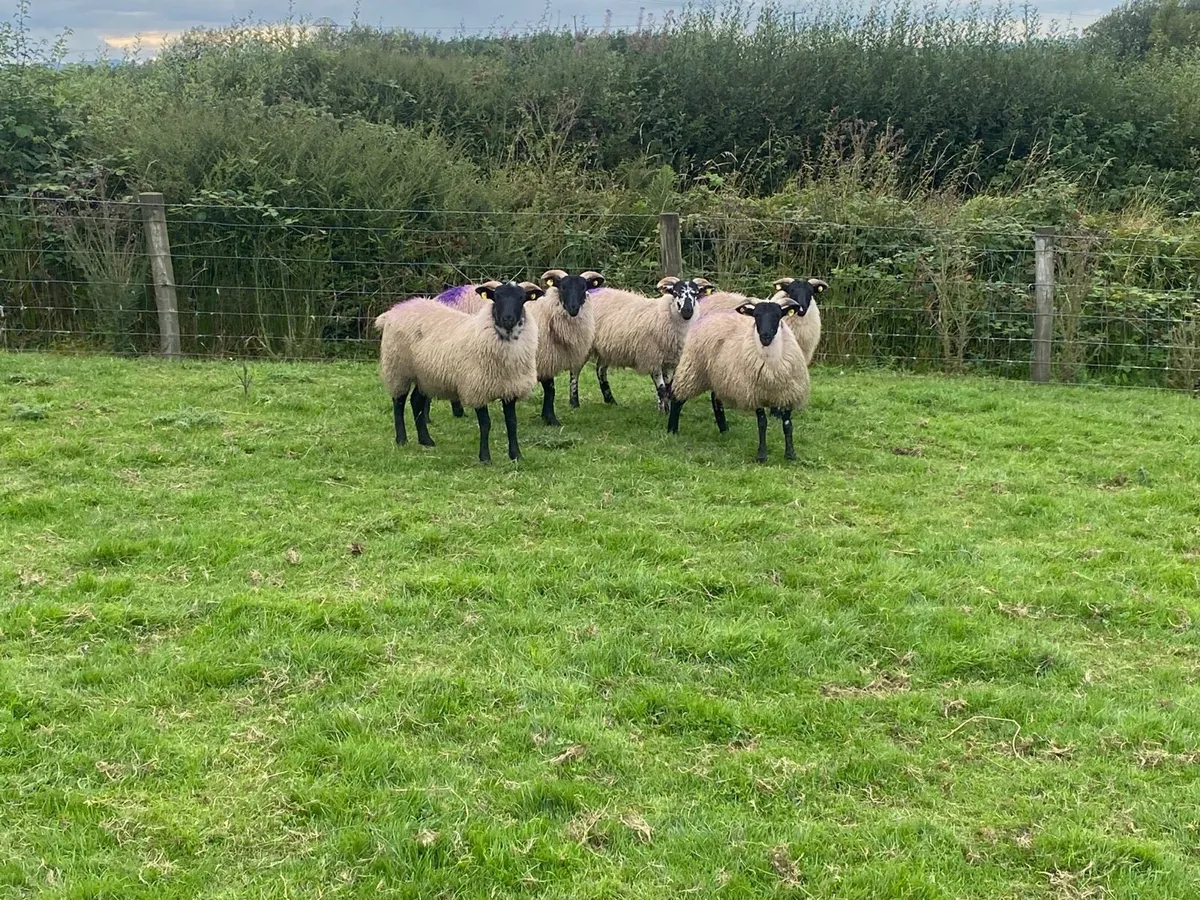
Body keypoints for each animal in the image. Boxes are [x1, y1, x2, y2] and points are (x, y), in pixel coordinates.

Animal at [374, 280, 544, 463]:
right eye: (496, 297)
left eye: (521, 298)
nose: (507, 318)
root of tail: (398, 308)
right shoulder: (476, 388)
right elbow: (485, 424)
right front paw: (485, 457)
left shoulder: (510, 389)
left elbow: (512, 423)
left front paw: (516, 455)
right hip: (398, 369)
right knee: (398, 403)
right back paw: (402, 439)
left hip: (425, 375)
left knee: (416, 401)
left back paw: (426, 440)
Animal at [569, 276, 711, 412]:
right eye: (675, 293)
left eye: (696, 293)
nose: (687, 311)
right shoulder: (652, 357)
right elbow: (661, 388)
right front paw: (663, 411)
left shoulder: (669, 361)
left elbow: (667, 387)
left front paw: (664, 407)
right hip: (584, 343)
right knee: (575, 371)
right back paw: (574, 402)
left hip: (607, 349)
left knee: (600, 370)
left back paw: (610, 401)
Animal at [667, 297, 810, 463]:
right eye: (756, 316)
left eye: (777, 316)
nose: (765, 336)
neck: (771, 365)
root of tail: (714, 316)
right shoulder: (754, 394)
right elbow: (762, 423)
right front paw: (762, 455)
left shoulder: (788, 394)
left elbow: (787, 425)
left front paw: (790, 454)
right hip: (692, 369)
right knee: (677, 398)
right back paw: (672, 430)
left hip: (720, 375)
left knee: (716, 400)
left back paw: (724, 429)